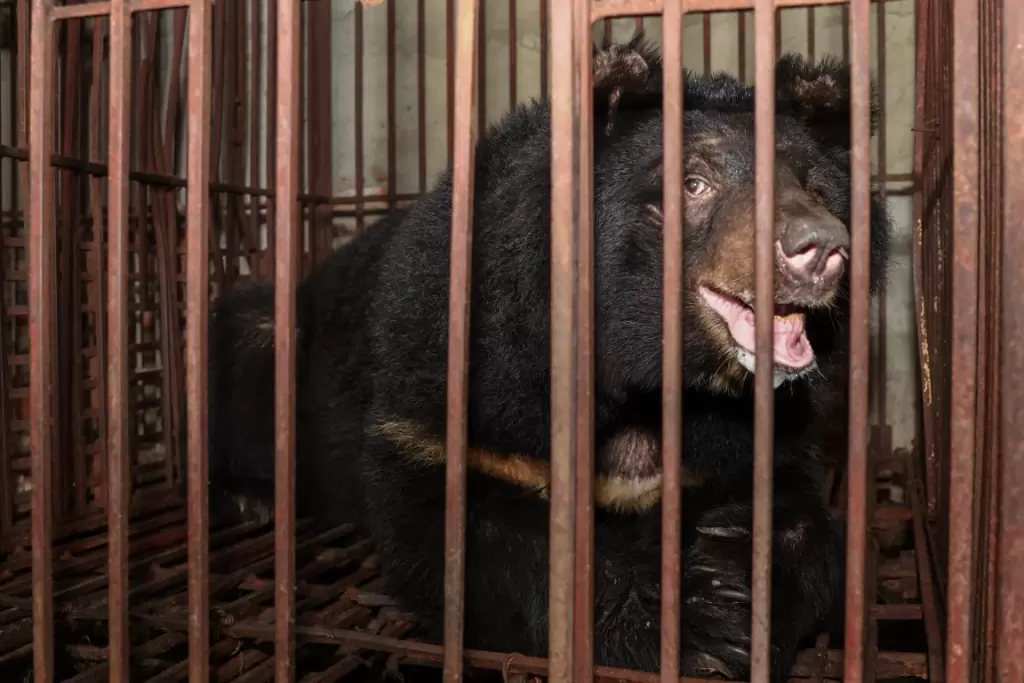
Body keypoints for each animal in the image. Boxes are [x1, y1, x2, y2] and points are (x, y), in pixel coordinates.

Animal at [199, 31, 891, 681]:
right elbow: (465, 539)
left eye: (813, 186)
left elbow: (800, 521)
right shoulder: (455, 376)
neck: (650, 375)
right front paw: (696, 631)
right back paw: (248, 499)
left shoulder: (758, 435)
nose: (822, 246)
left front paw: (733, 568)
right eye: (695, 184)